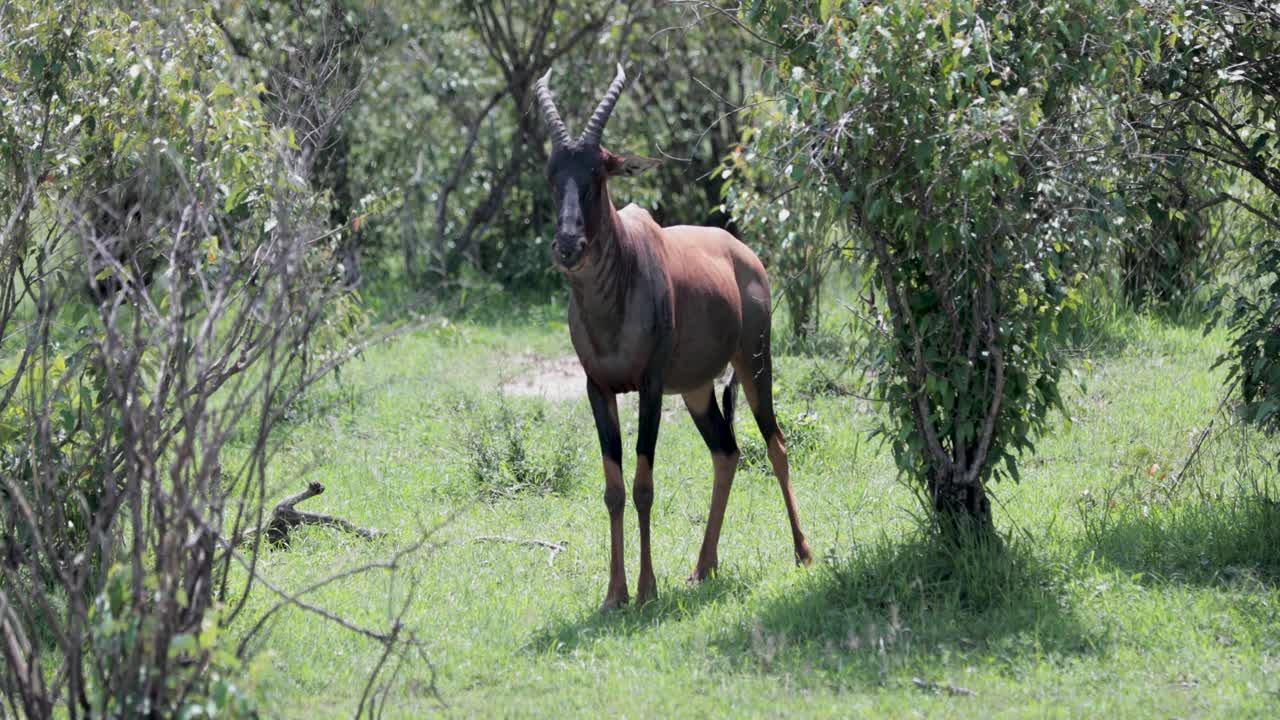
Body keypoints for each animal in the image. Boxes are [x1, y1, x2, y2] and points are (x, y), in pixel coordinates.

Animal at [536, 64, 812, 609]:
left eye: (599, 173)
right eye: (554, 175)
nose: (568, 246)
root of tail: (743, 253)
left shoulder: (649, 386)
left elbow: (643, 484)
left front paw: (645, 590)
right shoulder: (598, 389)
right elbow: (614, 488)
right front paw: (614, 594)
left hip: (755, 363)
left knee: (775, 445)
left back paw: (803, 553)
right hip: (698, 389)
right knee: (727, 453)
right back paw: (702, 568)